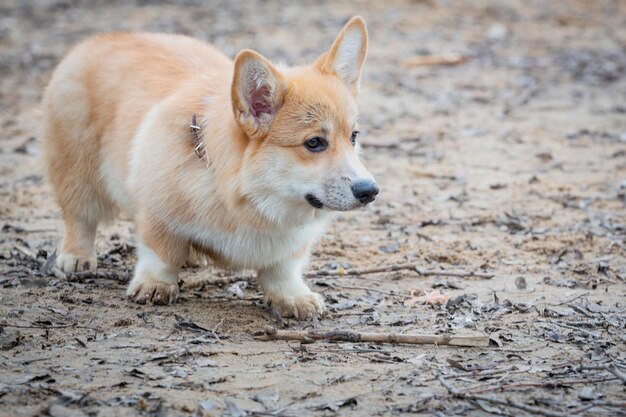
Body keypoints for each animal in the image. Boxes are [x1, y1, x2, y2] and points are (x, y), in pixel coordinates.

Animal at [44, 15, 378, 316]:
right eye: (314, 143)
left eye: (353, 136)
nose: (370, 191)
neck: (253, 203)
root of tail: (103, 38)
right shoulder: (157, 209)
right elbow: (160, 252)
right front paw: (155, 284)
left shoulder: (289, 245)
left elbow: (282, 270)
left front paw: (292, 297)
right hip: (76, 172)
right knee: (80, 218)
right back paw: (76, 257)